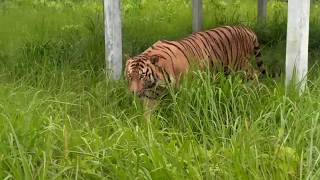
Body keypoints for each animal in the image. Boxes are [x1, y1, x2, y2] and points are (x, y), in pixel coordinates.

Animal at [126, 25, 266, 100]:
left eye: (142, 76)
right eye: (129, 76)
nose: (133, 93)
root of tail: (247, 29)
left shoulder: (185, 89)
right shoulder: (150, 95)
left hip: (241, 67)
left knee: (256, 74)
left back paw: (257, 92)